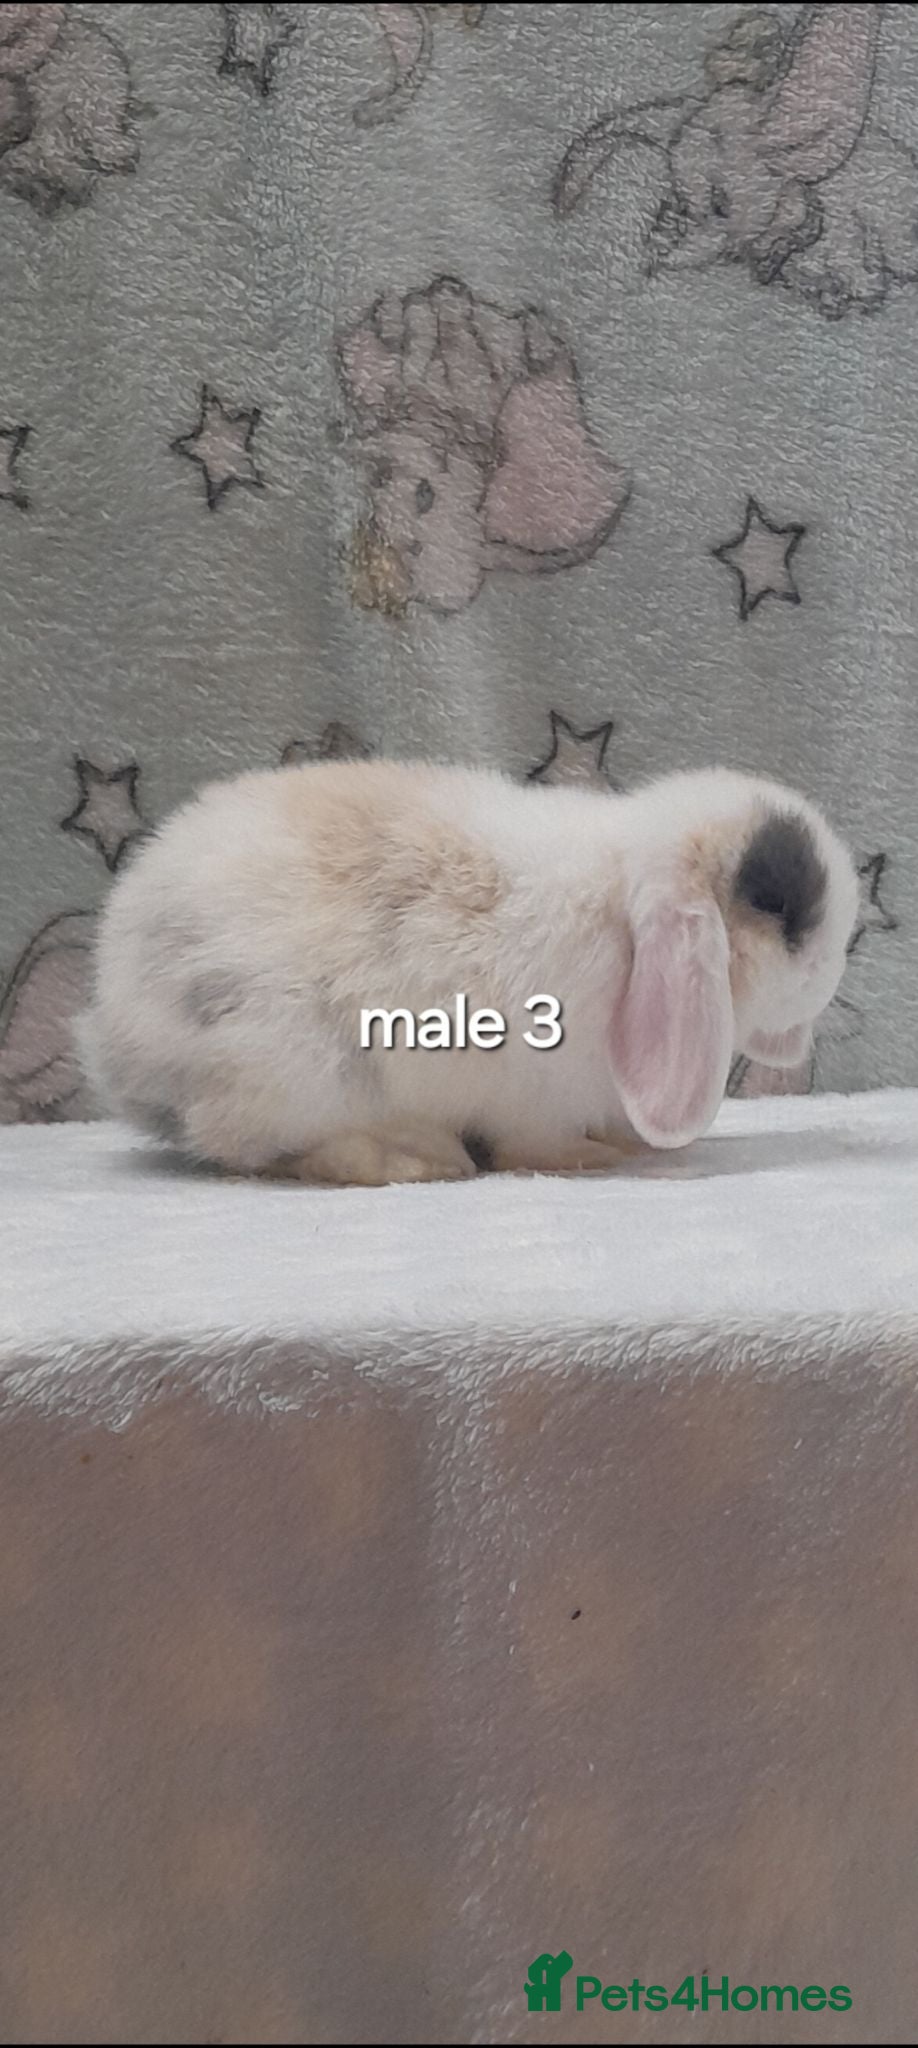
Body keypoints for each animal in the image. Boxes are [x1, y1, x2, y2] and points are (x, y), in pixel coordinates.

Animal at [77, 759, 859, 1186]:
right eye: (783, 910)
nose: (836, 966)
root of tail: (118, 1038)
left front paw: (621, 1141)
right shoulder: (537, 1097)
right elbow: (533, 1144)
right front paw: (592, 1158)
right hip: (293, 1070)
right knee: (251, 1149)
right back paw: (415, 1158)